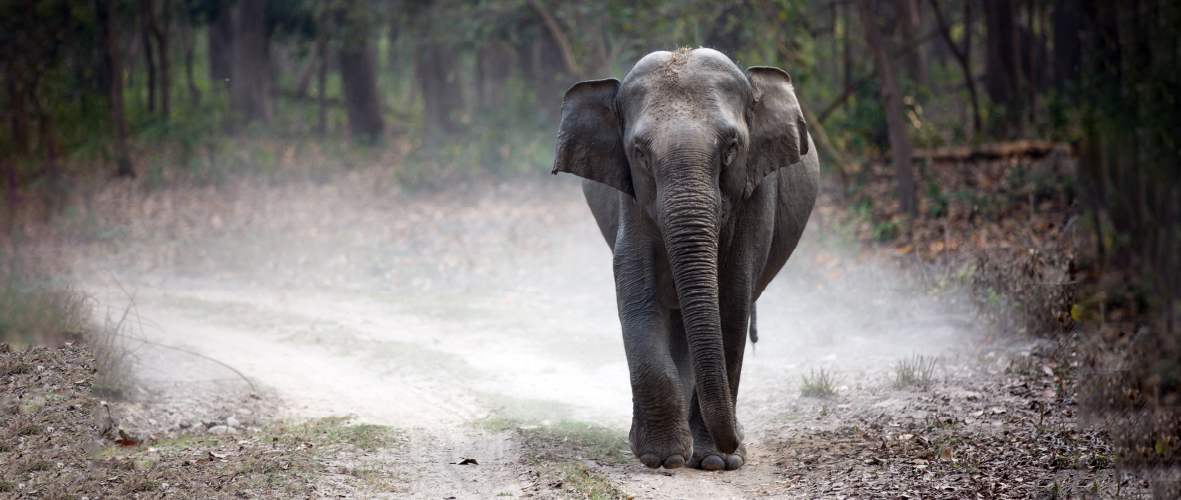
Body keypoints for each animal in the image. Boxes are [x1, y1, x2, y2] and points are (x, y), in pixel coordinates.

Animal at [550, 47, 817, 472]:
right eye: (639, 153)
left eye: (731, 148)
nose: (733, 442)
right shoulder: (631, 199)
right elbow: (638, 296)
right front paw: (665, 458)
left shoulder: (756, 195)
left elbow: (731, 303)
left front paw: (715, 462)